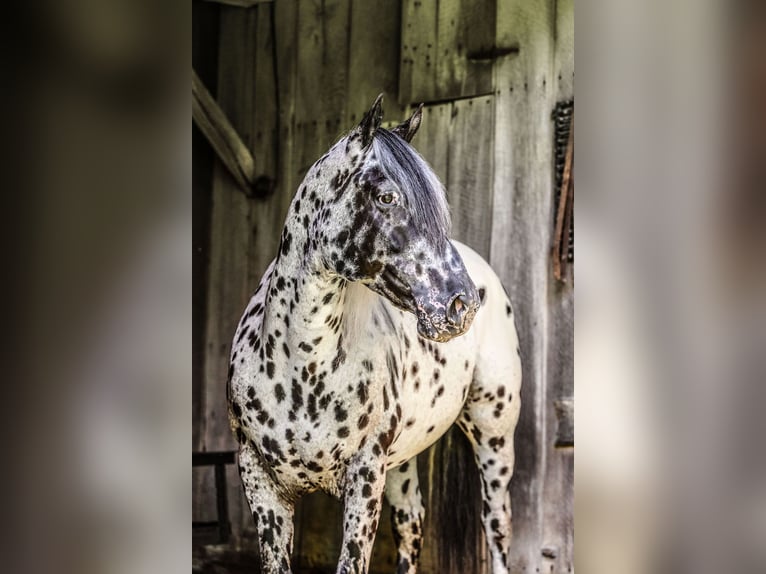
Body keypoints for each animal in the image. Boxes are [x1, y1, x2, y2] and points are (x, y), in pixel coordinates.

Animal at [228, 94, 522, 574]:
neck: (302, 364)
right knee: (411, 522)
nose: (461, 305)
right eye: (386, 197)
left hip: (493, 435)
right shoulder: (260, 483)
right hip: (402, 458)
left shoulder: (364, 478)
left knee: (496, 525)